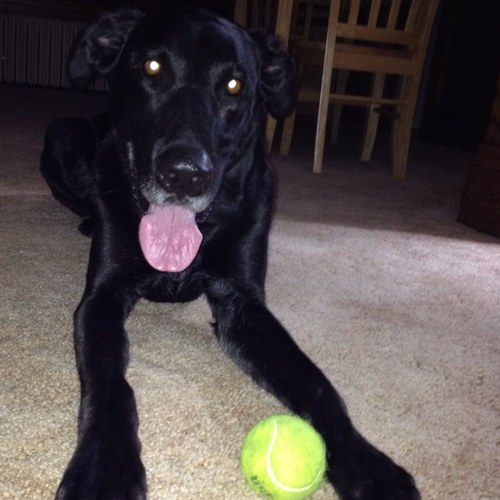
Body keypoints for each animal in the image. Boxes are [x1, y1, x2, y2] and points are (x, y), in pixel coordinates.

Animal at [41, 7, 420, 500]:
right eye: (152, 67)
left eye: (236, 85)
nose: (185, 175)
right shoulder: (100, 299)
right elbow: (110, 384)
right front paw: (103, 470)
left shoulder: (243, 305)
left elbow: (316, 384)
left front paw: (368, 466)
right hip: (61, 132)